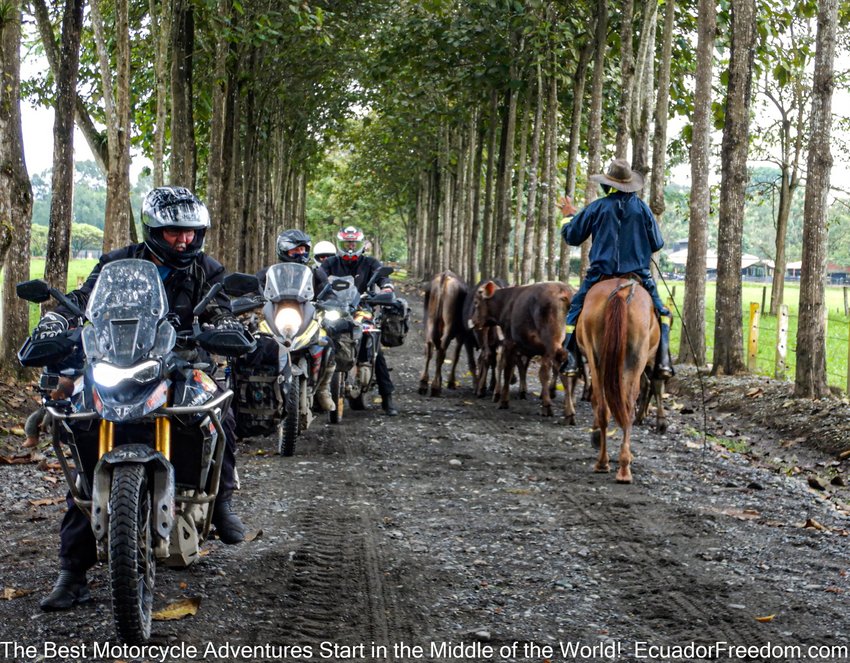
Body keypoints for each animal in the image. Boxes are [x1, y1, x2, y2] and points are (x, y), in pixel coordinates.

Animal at [468, 282, 572, 418]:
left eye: (476, 302)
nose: (473, 321)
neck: (505, 302)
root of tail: (563, 291)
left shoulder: (509, 342)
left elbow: (507, 370)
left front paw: (503, 400)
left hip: (550, 342)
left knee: (546, 371)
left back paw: (547, 406)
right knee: (563, 370)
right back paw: (568, 411)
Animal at [576, 274, 664, 482]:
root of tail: (621, 292)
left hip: (598, 359)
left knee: (604, 408)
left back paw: (606, 463)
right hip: (634, 360)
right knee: (627, 407)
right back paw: (621, 466)